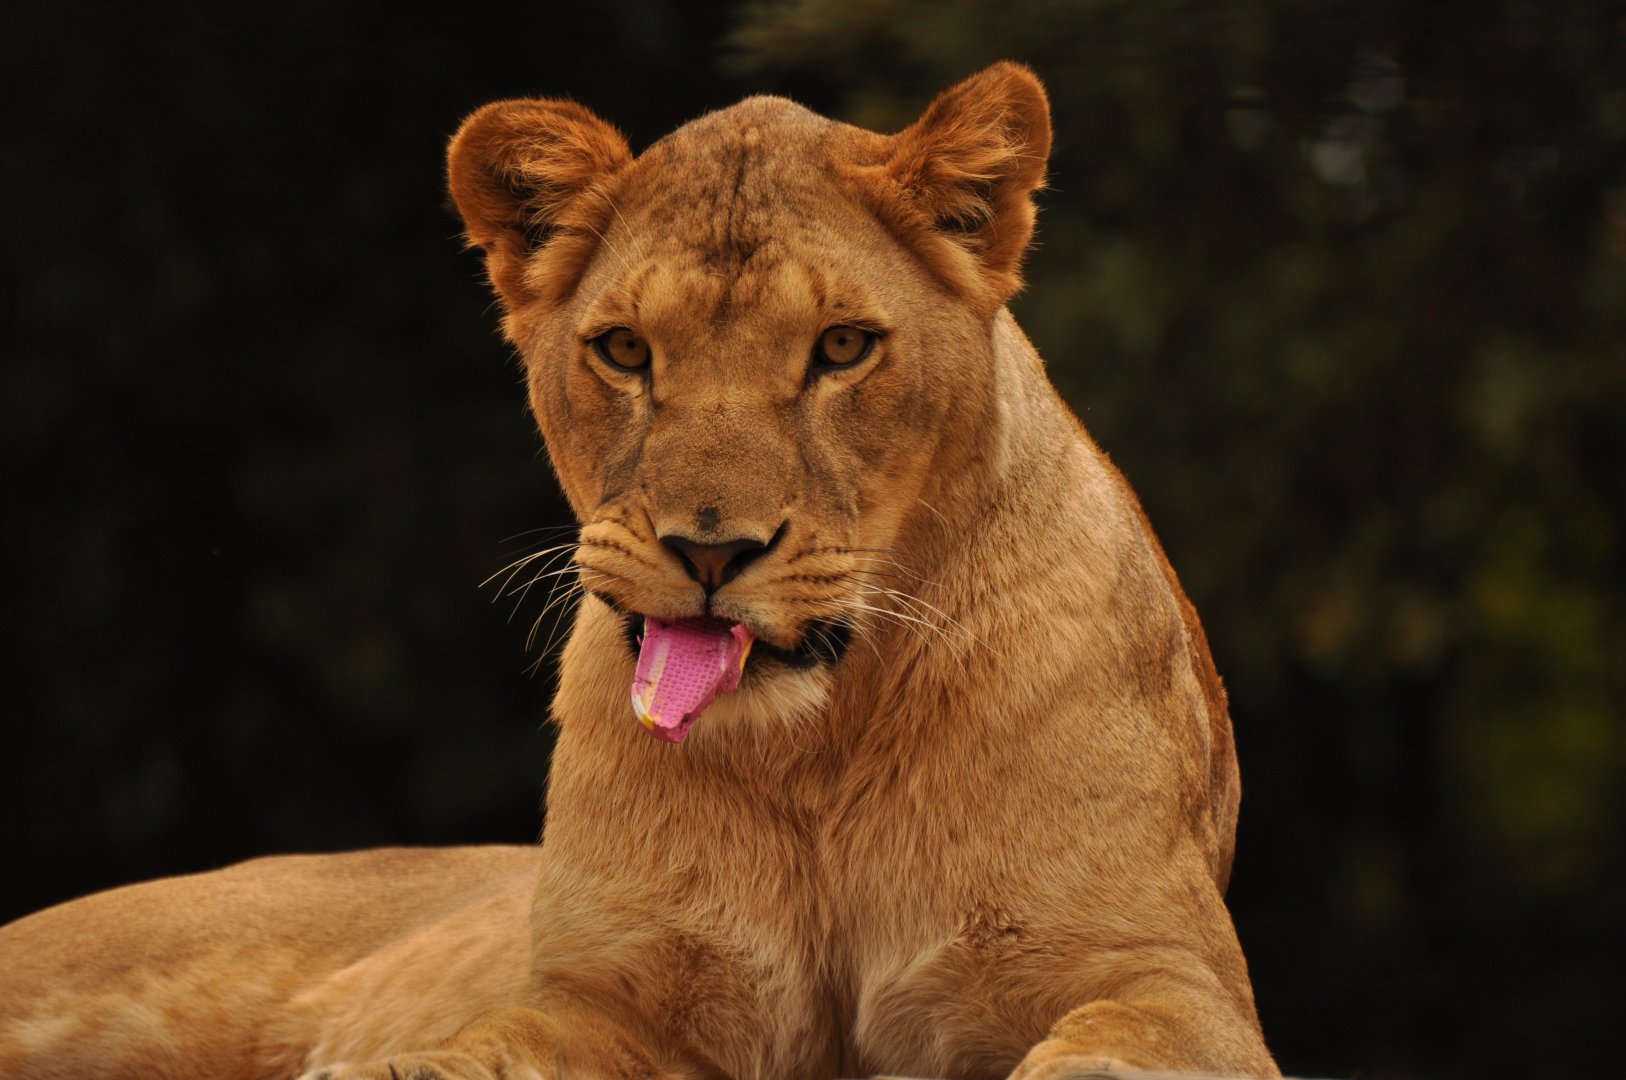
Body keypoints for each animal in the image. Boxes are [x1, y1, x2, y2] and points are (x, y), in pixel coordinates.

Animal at [0, 63, 1278, 1080]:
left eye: (843, 347)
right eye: (623, 349)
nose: (710, 548)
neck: (815, 754)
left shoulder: (1163, 971)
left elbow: (1113, 1044)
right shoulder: (612, 1004)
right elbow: (481, 1053)